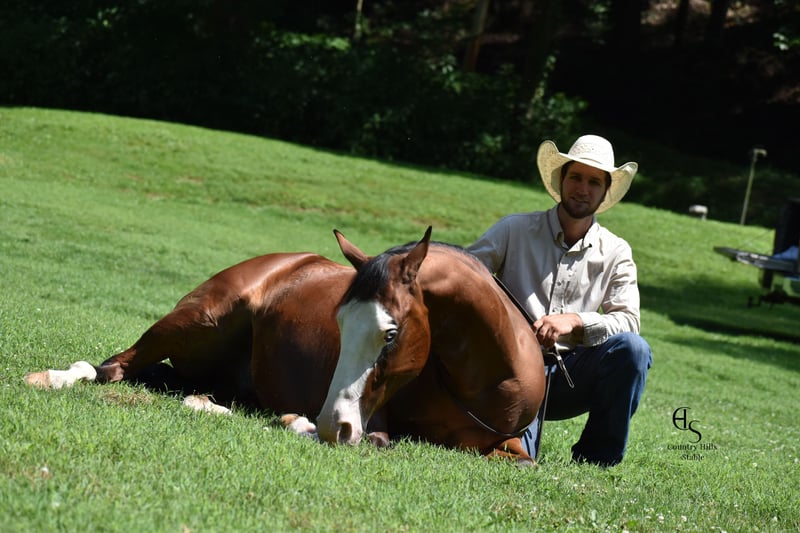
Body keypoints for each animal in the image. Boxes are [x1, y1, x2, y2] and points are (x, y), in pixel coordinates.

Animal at [25, 228, 545, 463]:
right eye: (339, 323)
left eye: (391, 333)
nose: (334, 422)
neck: (489, 380)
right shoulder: (373, 422)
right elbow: (371, 440)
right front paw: (299, 423)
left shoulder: (513, 449)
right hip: (194, 322)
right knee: (112, 367)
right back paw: (52, 378)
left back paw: (206, 403)